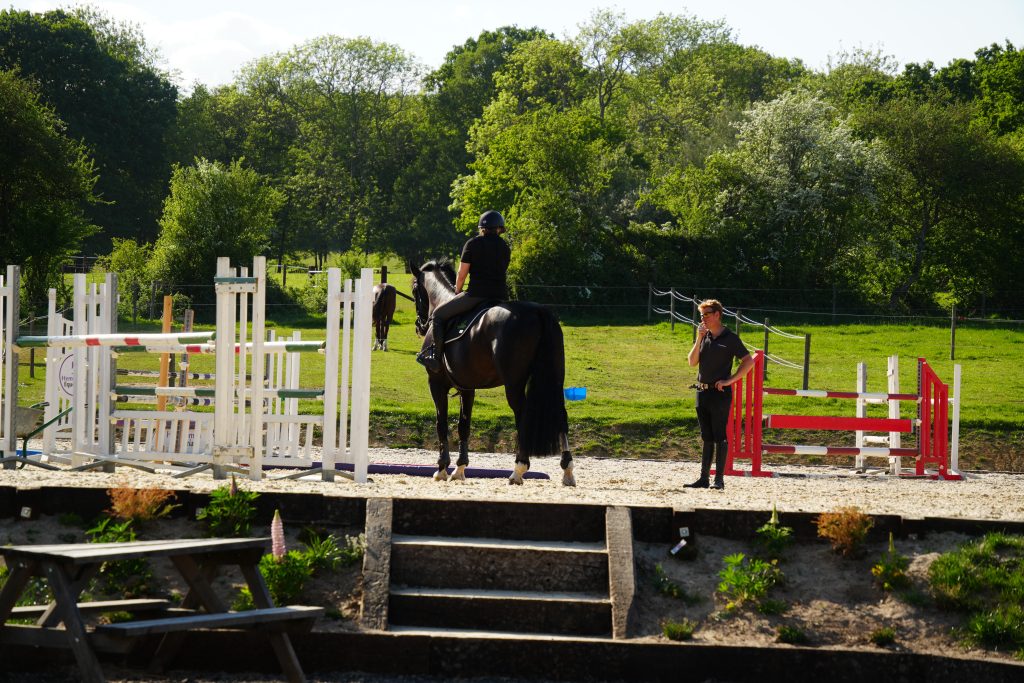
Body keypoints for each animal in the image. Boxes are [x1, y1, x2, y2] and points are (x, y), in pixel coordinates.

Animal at [409, 259, 575, 486]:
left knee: (523, 415)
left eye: (414, 289)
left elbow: (441, 423)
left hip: (514, 384)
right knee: (560, 415)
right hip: (554, 379)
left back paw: (519, 469)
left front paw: (442, 469)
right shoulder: (467, 388)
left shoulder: (436, 383)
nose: (419, 325)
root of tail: (538, 312)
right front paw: (459, 469)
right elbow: (463, 425)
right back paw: (567, 470)